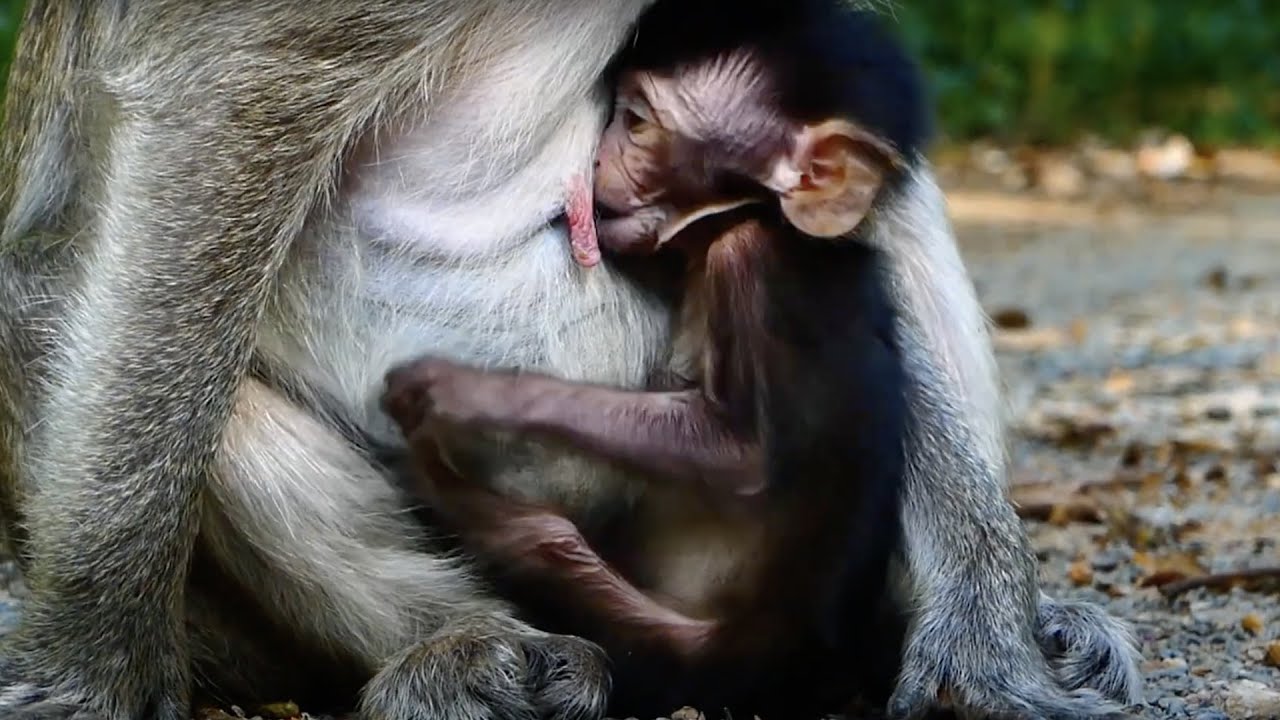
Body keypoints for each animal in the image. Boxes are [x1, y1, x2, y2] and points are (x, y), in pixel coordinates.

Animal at [0, 2, 1143, 720]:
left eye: (638, 123)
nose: (616, 182)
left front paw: (986, 632)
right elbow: (225, 98)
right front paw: (93, 664)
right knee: (62, 317)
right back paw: (468, 654)